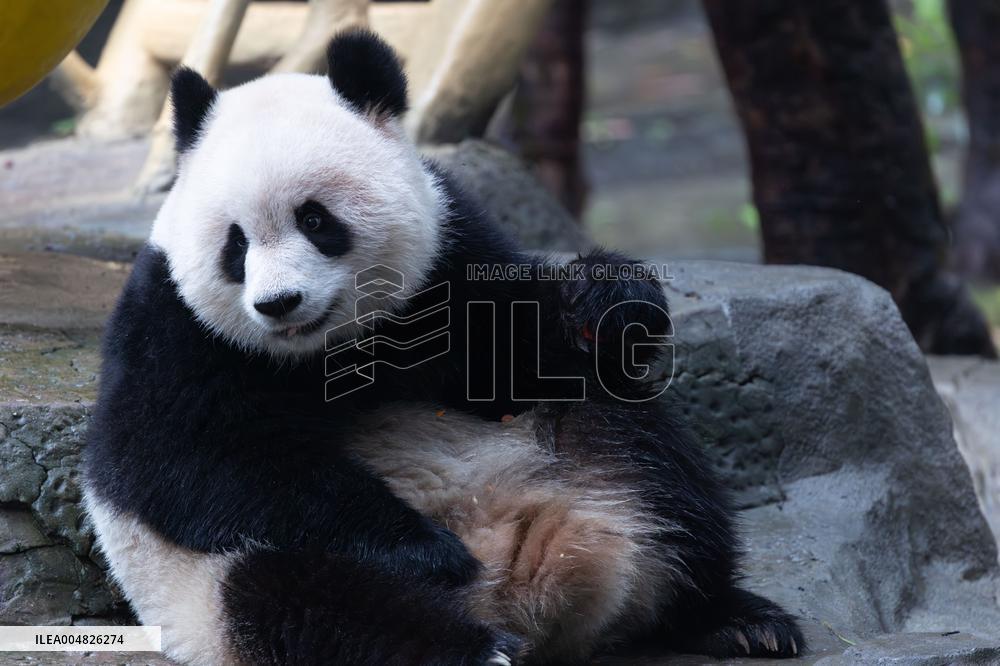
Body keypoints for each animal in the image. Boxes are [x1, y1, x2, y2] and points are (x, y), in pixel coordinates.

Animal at [83, 30, 803, 666]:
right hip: (214, 590)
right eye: (235, 244)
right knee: (309, 603)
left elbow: (515, 359)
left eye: (314, 219)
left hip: (576, 460)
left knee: (650, 457)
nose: (278, 304)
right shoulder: (174, 325)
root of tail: (522, 593)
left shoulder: (445, 256)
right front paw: (426, 549)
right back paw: (472, 647)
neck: (326, 349)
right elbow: (186, 457)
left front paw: (612, 298)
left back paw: (732, 620)